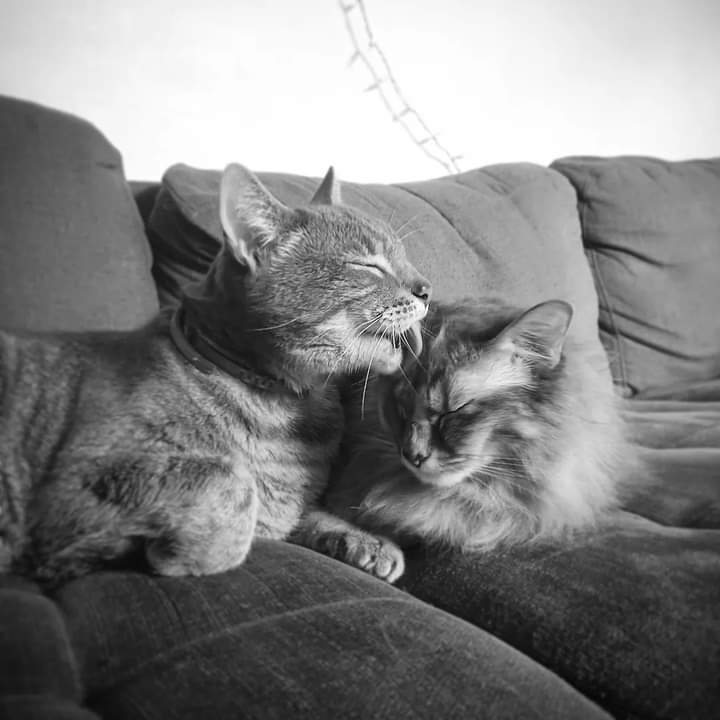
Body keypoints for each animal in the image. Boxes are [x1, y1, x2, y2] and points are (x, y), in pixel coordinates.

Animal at [0, 166, 428, 588]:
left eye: (405, 257)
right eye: (367, 265)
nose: (426, 288)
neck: (285, 408)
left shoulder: (288, 508)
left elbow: (308, 512)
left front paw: (368, 540)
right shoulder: (75, 484)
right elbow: (232, 485)